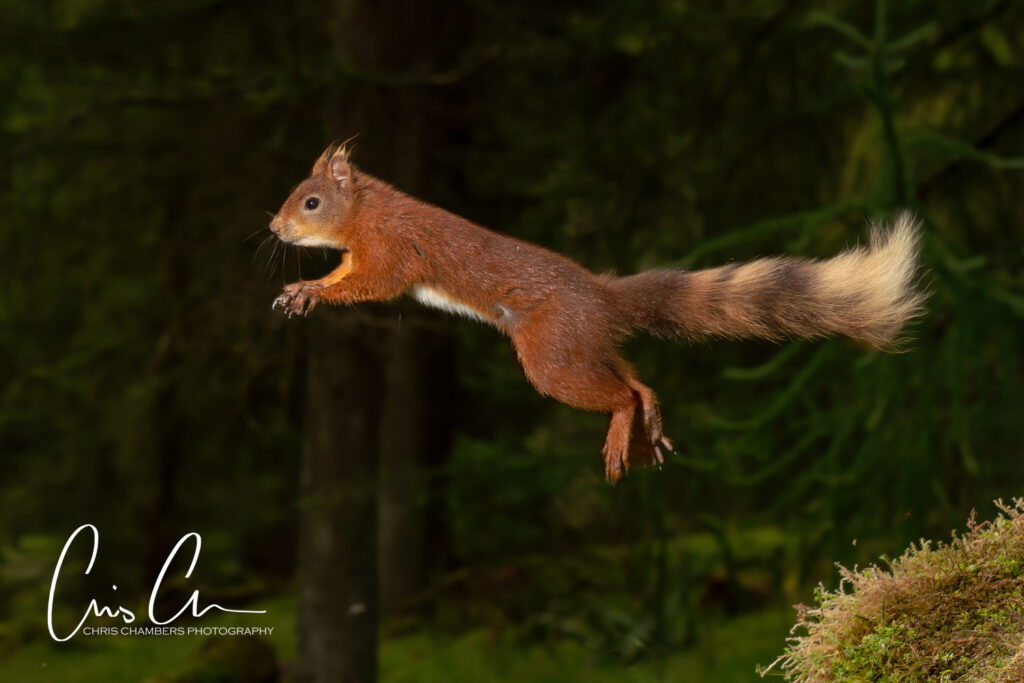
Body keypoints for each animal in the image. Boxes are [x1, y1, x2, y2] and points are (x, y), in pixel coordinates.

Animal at [270, 144, 924, 484]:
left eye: (311, 201)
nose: (274, 227)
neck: (369, 212)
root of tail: (603, 298)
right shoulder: (360, 252)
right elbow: (344, 275)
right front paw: (305, 288)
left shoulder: (392, 251)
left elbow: (373, 283)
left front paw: (312, 290)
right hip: (582, 347)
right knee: (635, 379)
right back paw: (650, 422)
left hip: (552, 354)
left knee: (617, 393)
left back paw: (620, 433)